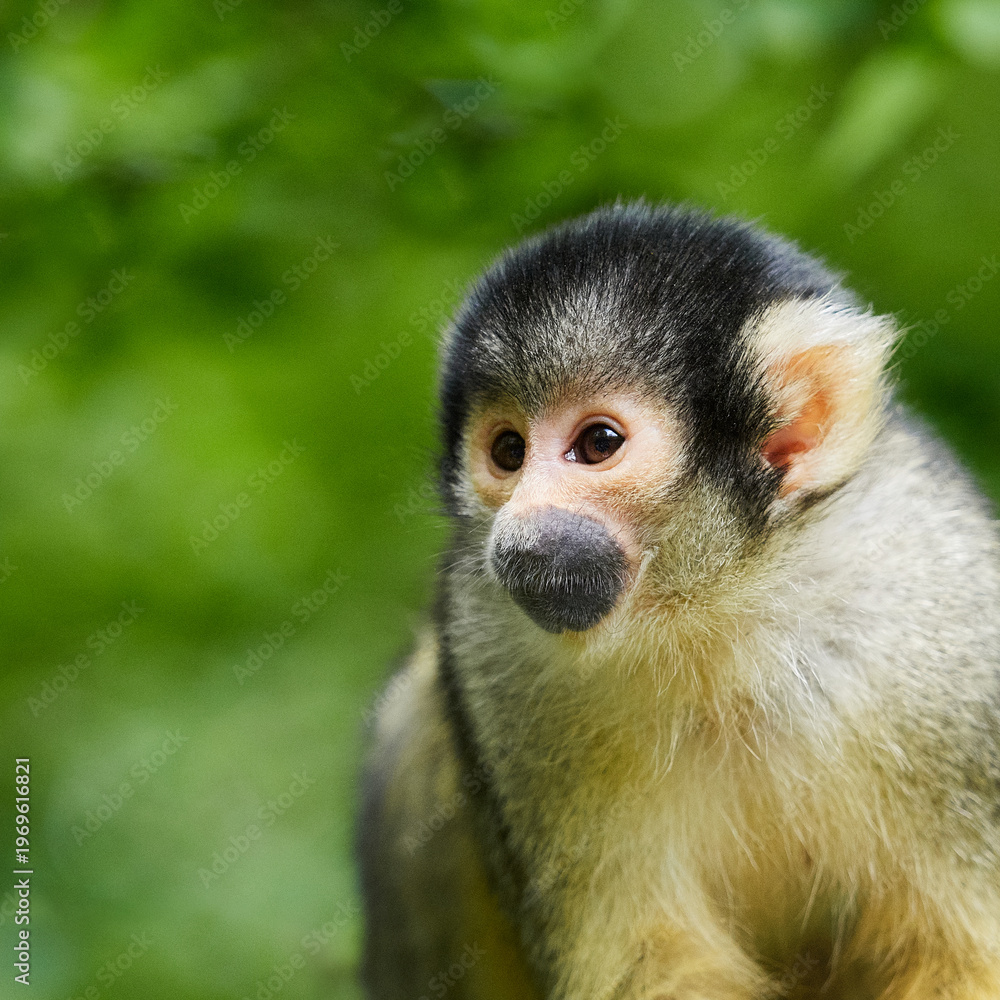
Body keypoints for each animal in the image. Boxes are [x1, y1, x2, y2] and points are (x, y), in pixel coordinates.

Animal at [357, 202, 1000, 1000]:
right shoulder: (493, 649)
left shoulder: (944, 614)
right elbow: (647, 961)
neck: (718, 613)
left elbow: (961, 954)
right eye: (507, 452)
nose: (517, 536)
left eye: (598, 443)